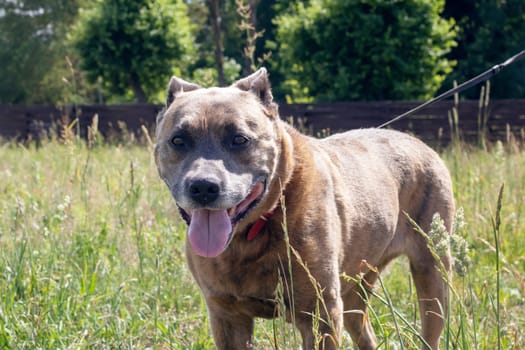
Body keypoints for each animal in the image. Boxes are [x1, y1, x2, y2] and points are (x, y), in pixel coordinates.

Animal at [154, 68, 452, 350]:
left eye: (239, 139)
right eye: (178, 140)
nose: (203, 187)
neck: (254, 232)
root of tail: (418, 142)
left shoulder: (321, 315)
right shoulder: (226, 316)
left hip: (432, 273)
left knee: (431, 330)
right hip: (356, 289)